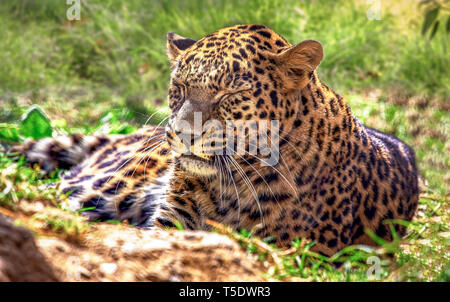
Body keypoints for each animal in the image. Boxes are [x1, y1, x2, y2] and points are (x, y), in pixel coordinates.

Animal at [8, 24, 420, 256]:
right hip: (106, 186)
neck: (230, 183)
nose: (181, 133)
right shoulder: (171, 221)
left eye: (229, 94)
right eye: (179, 86)